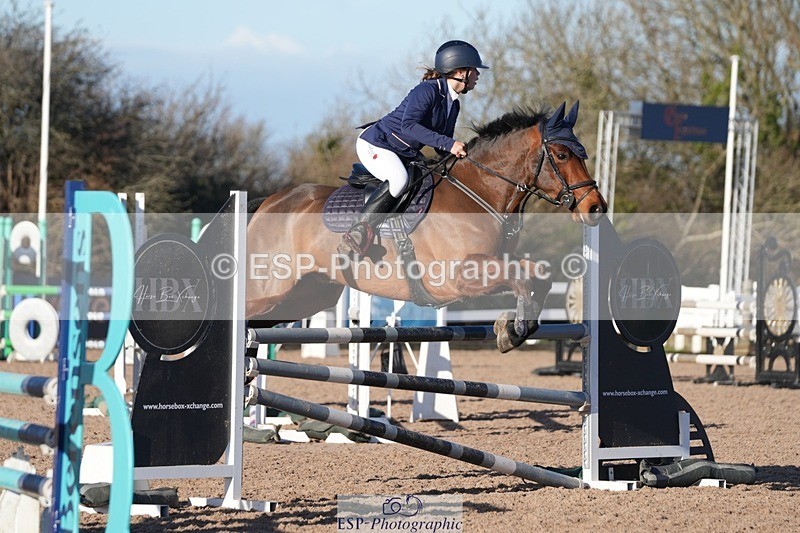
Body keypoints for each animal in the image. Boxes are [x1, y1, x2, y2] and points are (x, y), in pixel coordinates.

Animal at [246, 101, 607, 352]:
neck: (479, 192)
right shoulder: (459, 276)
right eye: (561, 155)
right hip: (270, 288)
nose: (595, 208)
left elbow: (538, 275)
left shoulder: (495, 261)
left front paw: (512, 330)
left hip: (307, 294)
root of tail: (268, 203)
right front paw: (513, 329)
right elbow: (521, 278)